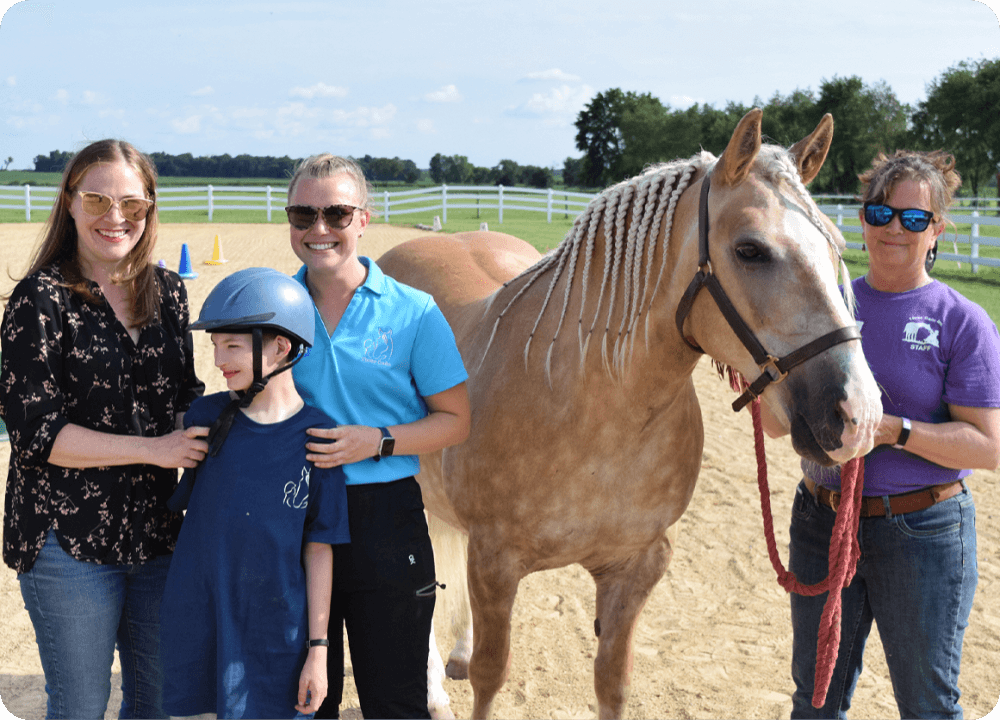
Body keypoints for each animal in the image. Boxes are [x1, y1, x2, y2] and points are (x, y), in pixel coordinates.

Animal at [378, 108, 883, 719]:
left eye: (837, 244)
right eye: (750, 250)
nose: (858, 414)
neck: (589, 406)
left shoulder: (637, 566)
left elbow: (612, 682)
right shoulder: (496, 564)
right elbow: (491, 678)